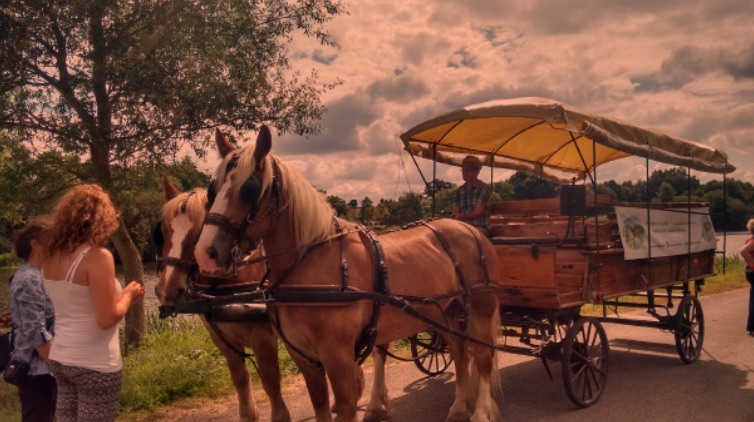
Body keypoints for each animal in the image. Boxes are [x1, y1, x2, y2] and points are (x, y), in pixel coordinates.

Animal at [153, 179, 290, 422]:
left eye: (199, 231)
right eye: (163, 231)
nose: (167, 290)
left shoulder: (263, 339)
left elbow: (271, 383)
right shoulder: (223, 342)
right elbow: (240, 381)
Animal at [192, 127, 500, 420]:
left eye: (249, 189)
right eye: (213, 189)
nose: (206, 253)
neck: (311, 262)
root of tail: (469, 229)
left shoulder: (337, 356)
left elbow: (346, 406)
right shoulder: (303, 356)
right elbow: (320, 406)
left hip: (480, 312)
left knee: (483, 358)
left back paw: (481, 412)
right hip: (447, 313)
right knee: (460, 354)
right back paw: (459, 408)